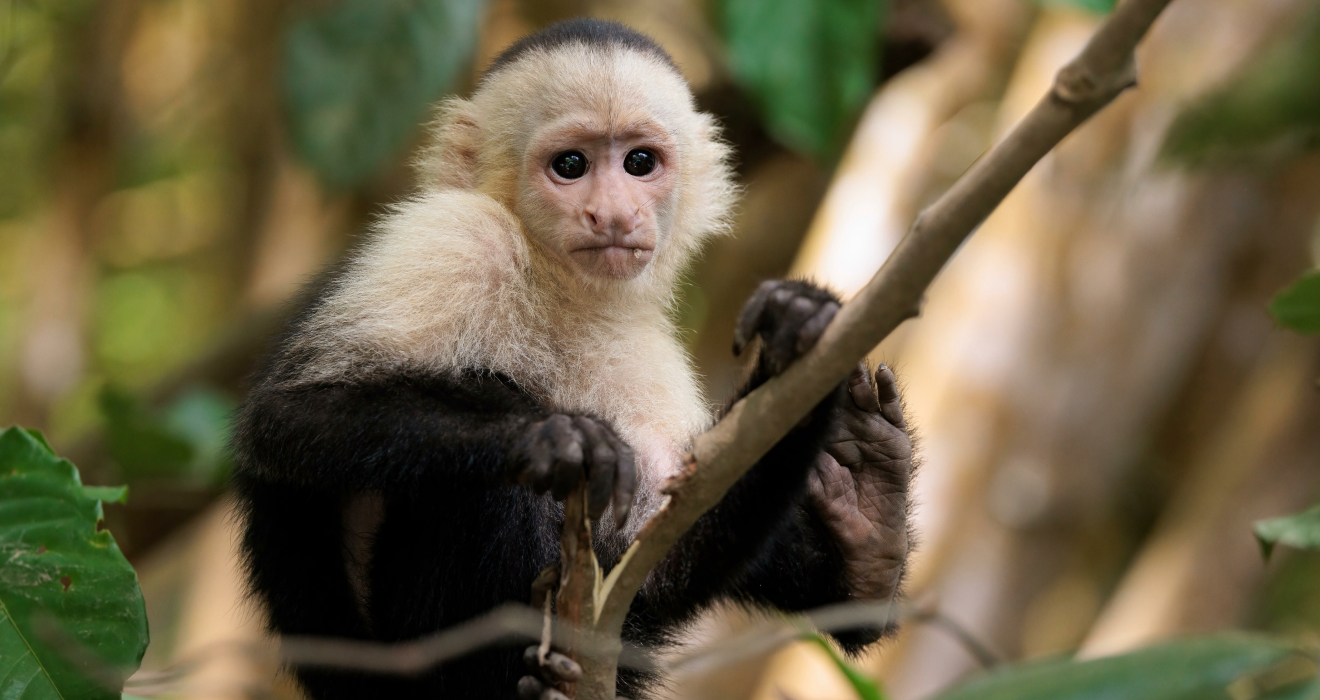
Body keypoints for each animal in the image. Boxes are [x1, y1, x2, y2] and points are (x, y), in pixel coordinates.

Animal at [229, 17, 908, 697]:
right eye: (571, 165)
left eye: (639, 162)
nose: (611, 213)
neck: (554, 284)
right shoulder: (458, 239)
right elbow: (287, 417)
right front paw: (554, 437)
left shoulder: (644, 347)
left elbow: (656, 561)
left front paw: (799, 353)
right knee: (484, 466)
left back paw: (871, 526)